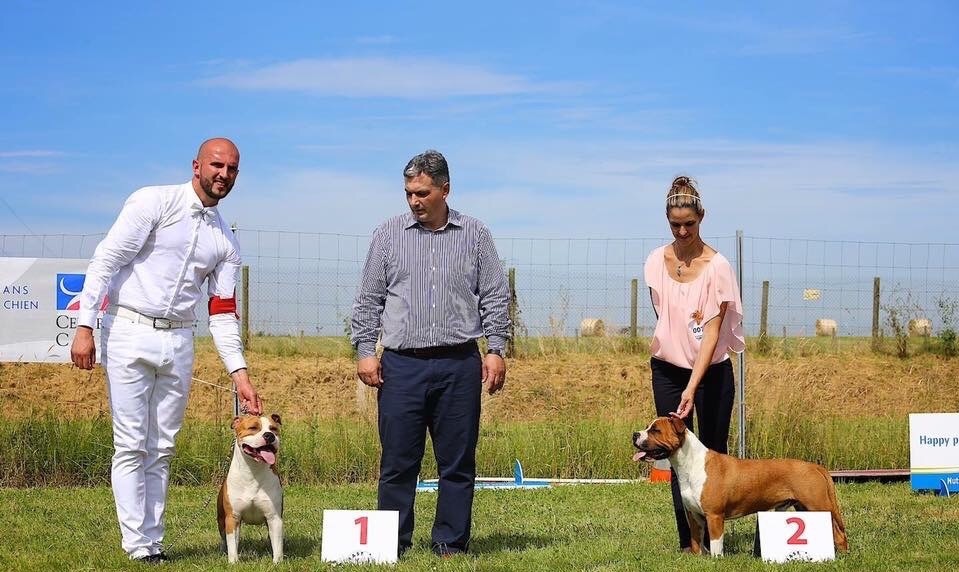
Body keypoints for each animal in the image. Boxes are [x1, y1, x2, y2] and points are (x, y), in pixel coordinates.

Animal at [217, 414, 284, 564]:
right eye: (253, 428)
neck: (253, 472)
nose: (269, 435)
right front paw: (233, 562)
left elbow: (277, 544)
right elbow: (232, 543)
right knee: (226, 538)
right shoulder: (233, 517)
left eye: (273, 428)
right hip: (221, 519)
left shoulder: (274, 517)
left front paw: (277, 563)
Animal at [632, 414, 848, 557]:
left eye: (656, 430)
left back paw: (843, 555)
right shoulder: (693, 515)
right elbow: (695, 540)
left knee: (838, 531)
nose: (634, 434)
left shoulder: (714, 515)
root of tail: (816, 466)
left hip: (818, 504)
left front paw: (715, 560)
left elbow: (715, 543)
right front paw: (697, 557)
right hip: (805, 507)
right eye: (647, 427)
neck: (690, 463)